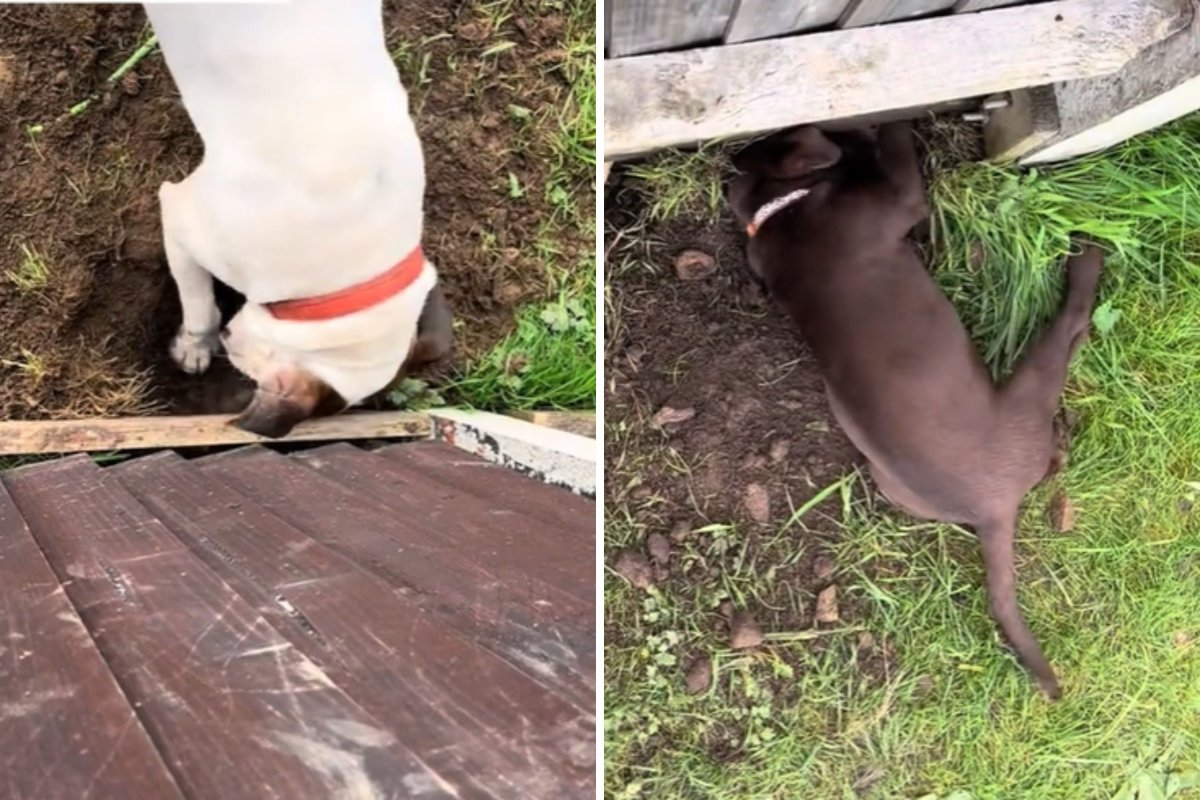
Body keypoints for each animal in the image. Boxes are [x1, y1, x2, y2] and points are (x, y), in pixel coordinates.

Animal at [724, 120, 1099, 700]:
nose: (847, 132)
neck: (778, 210)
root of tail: (992, 509)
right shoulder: (901, 199)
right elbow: (899, 152)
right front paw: (889, 122)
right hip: (1029, 390)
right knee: (1070, 328)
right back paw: (1088, 262)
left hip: (894, 484)